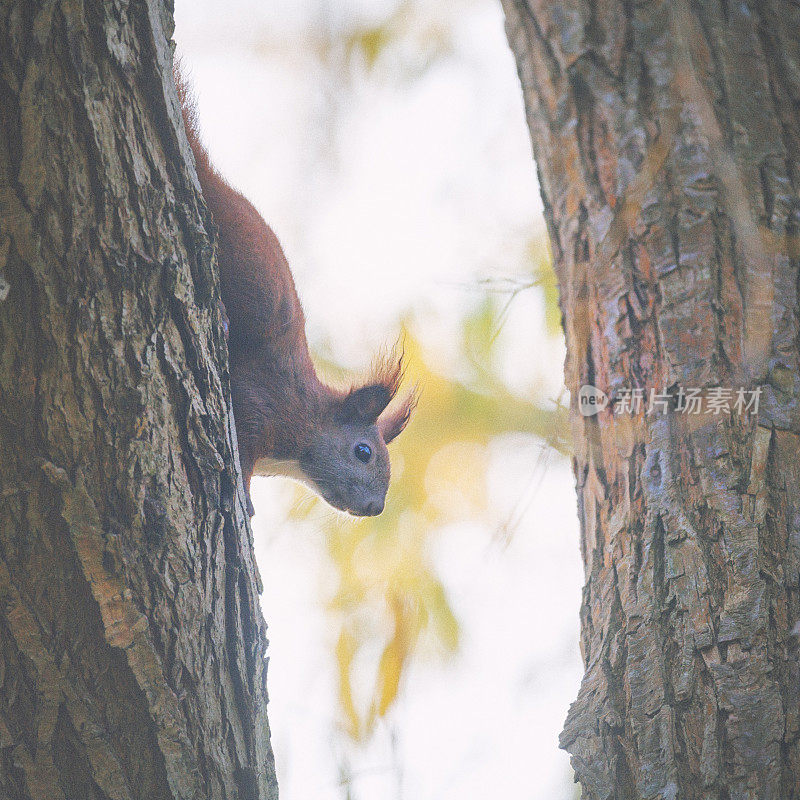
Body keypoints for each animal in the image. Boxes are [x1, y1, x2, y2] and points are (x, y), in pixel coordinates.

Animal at [173, 69, 412, 520]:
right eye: (363, 452)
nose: (374, 508)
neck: (309, 413)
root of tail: (208, 176)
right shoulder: (259, 403)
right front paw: (246, 500)